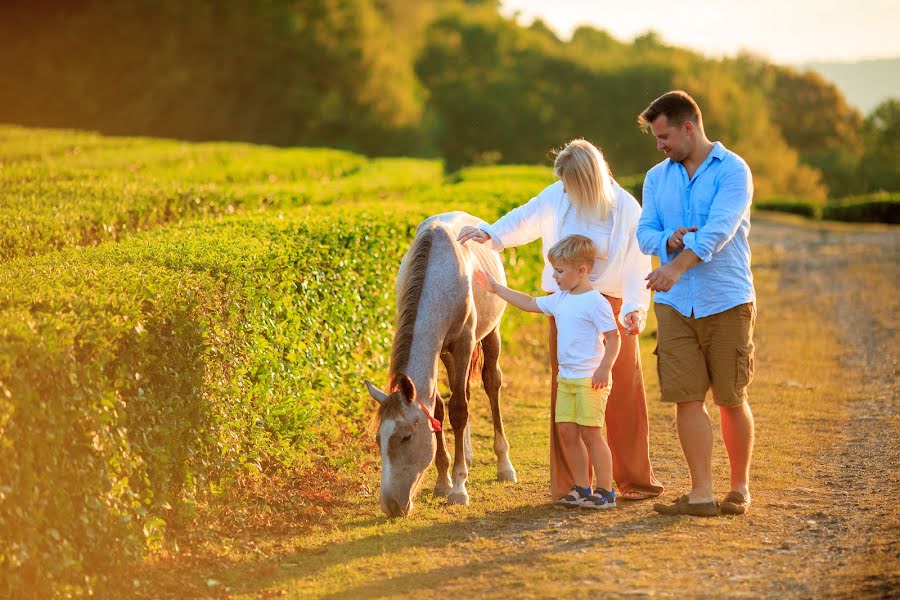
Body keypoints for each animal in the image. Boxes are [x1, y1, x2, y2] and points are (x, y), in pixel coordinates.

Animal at [364, 211, 516, 516]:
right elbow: (439, 409)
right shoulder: (443, 349)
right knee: (463, 390)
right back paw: (466, 455)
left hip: (490, 333)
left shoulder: (464, 342)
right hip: (447, 354)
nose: (391, 505)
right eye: (378, 441)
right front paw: (444, 481)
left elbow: (458, 409)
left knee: (491, 384)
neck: (439, 279)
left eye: (406, 437)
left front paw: (458, 488)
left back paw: (504, 465)